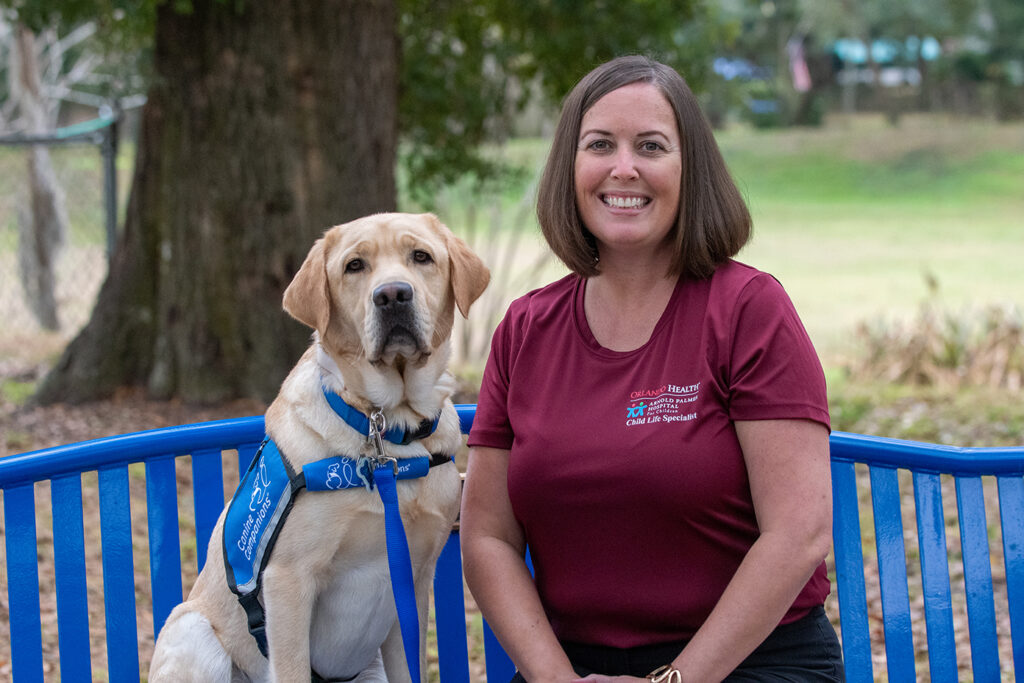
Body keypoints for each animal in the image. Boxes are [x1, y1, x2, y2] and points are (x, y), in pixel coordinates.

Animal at [147, 210, 491, 679]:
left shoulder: (415, 582)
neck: (387, 430)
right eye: (354, 266)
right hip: (193, 631)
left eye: (421, 257)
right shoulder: (288, 581)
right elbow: (292, 668)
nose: (393, 295)